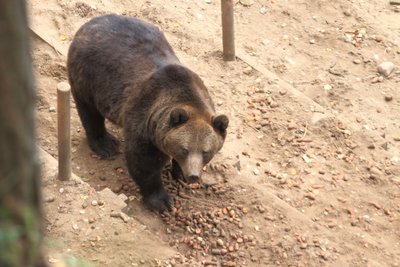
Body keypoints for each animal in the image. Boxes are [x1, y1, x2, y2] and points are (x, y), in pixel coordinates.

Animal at [66, 14, 228, 213]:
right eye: (184, 149)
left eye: (206, 151)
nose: (193, 175)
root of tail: (89, 23)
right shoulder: (144, 117)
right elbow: (143, 162)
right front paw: (161, 201)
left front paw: (179, 173)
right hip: (88, 75)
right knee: (89, 111)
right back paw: (105, 144)